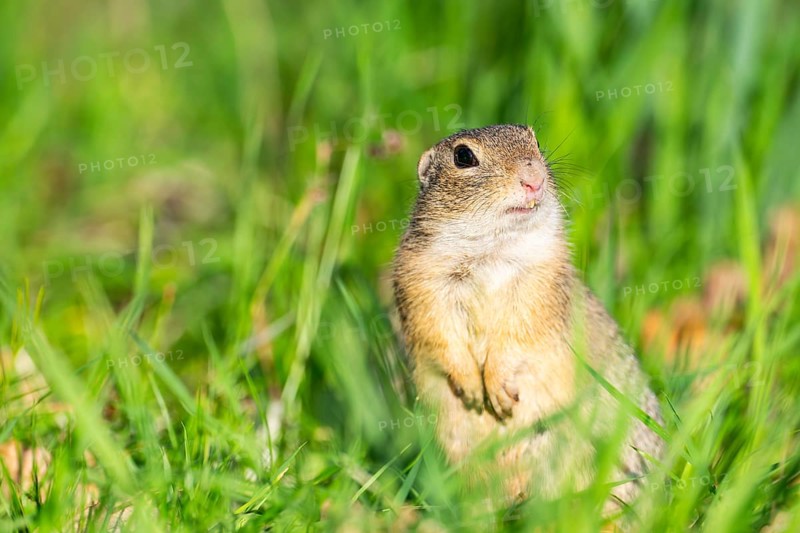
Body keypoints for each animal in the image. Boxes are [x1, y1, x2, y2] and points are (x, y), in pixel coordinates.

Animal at [392, 124, 664, 510]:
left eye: (533, 139)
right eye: (463, 156)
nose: (534, 178)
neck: (492, 250)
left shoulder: (540, 282)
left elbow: (518, 336)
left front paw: (497, 388)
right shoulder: (421, 281)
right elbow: (438, 332)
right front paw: (472, 389)